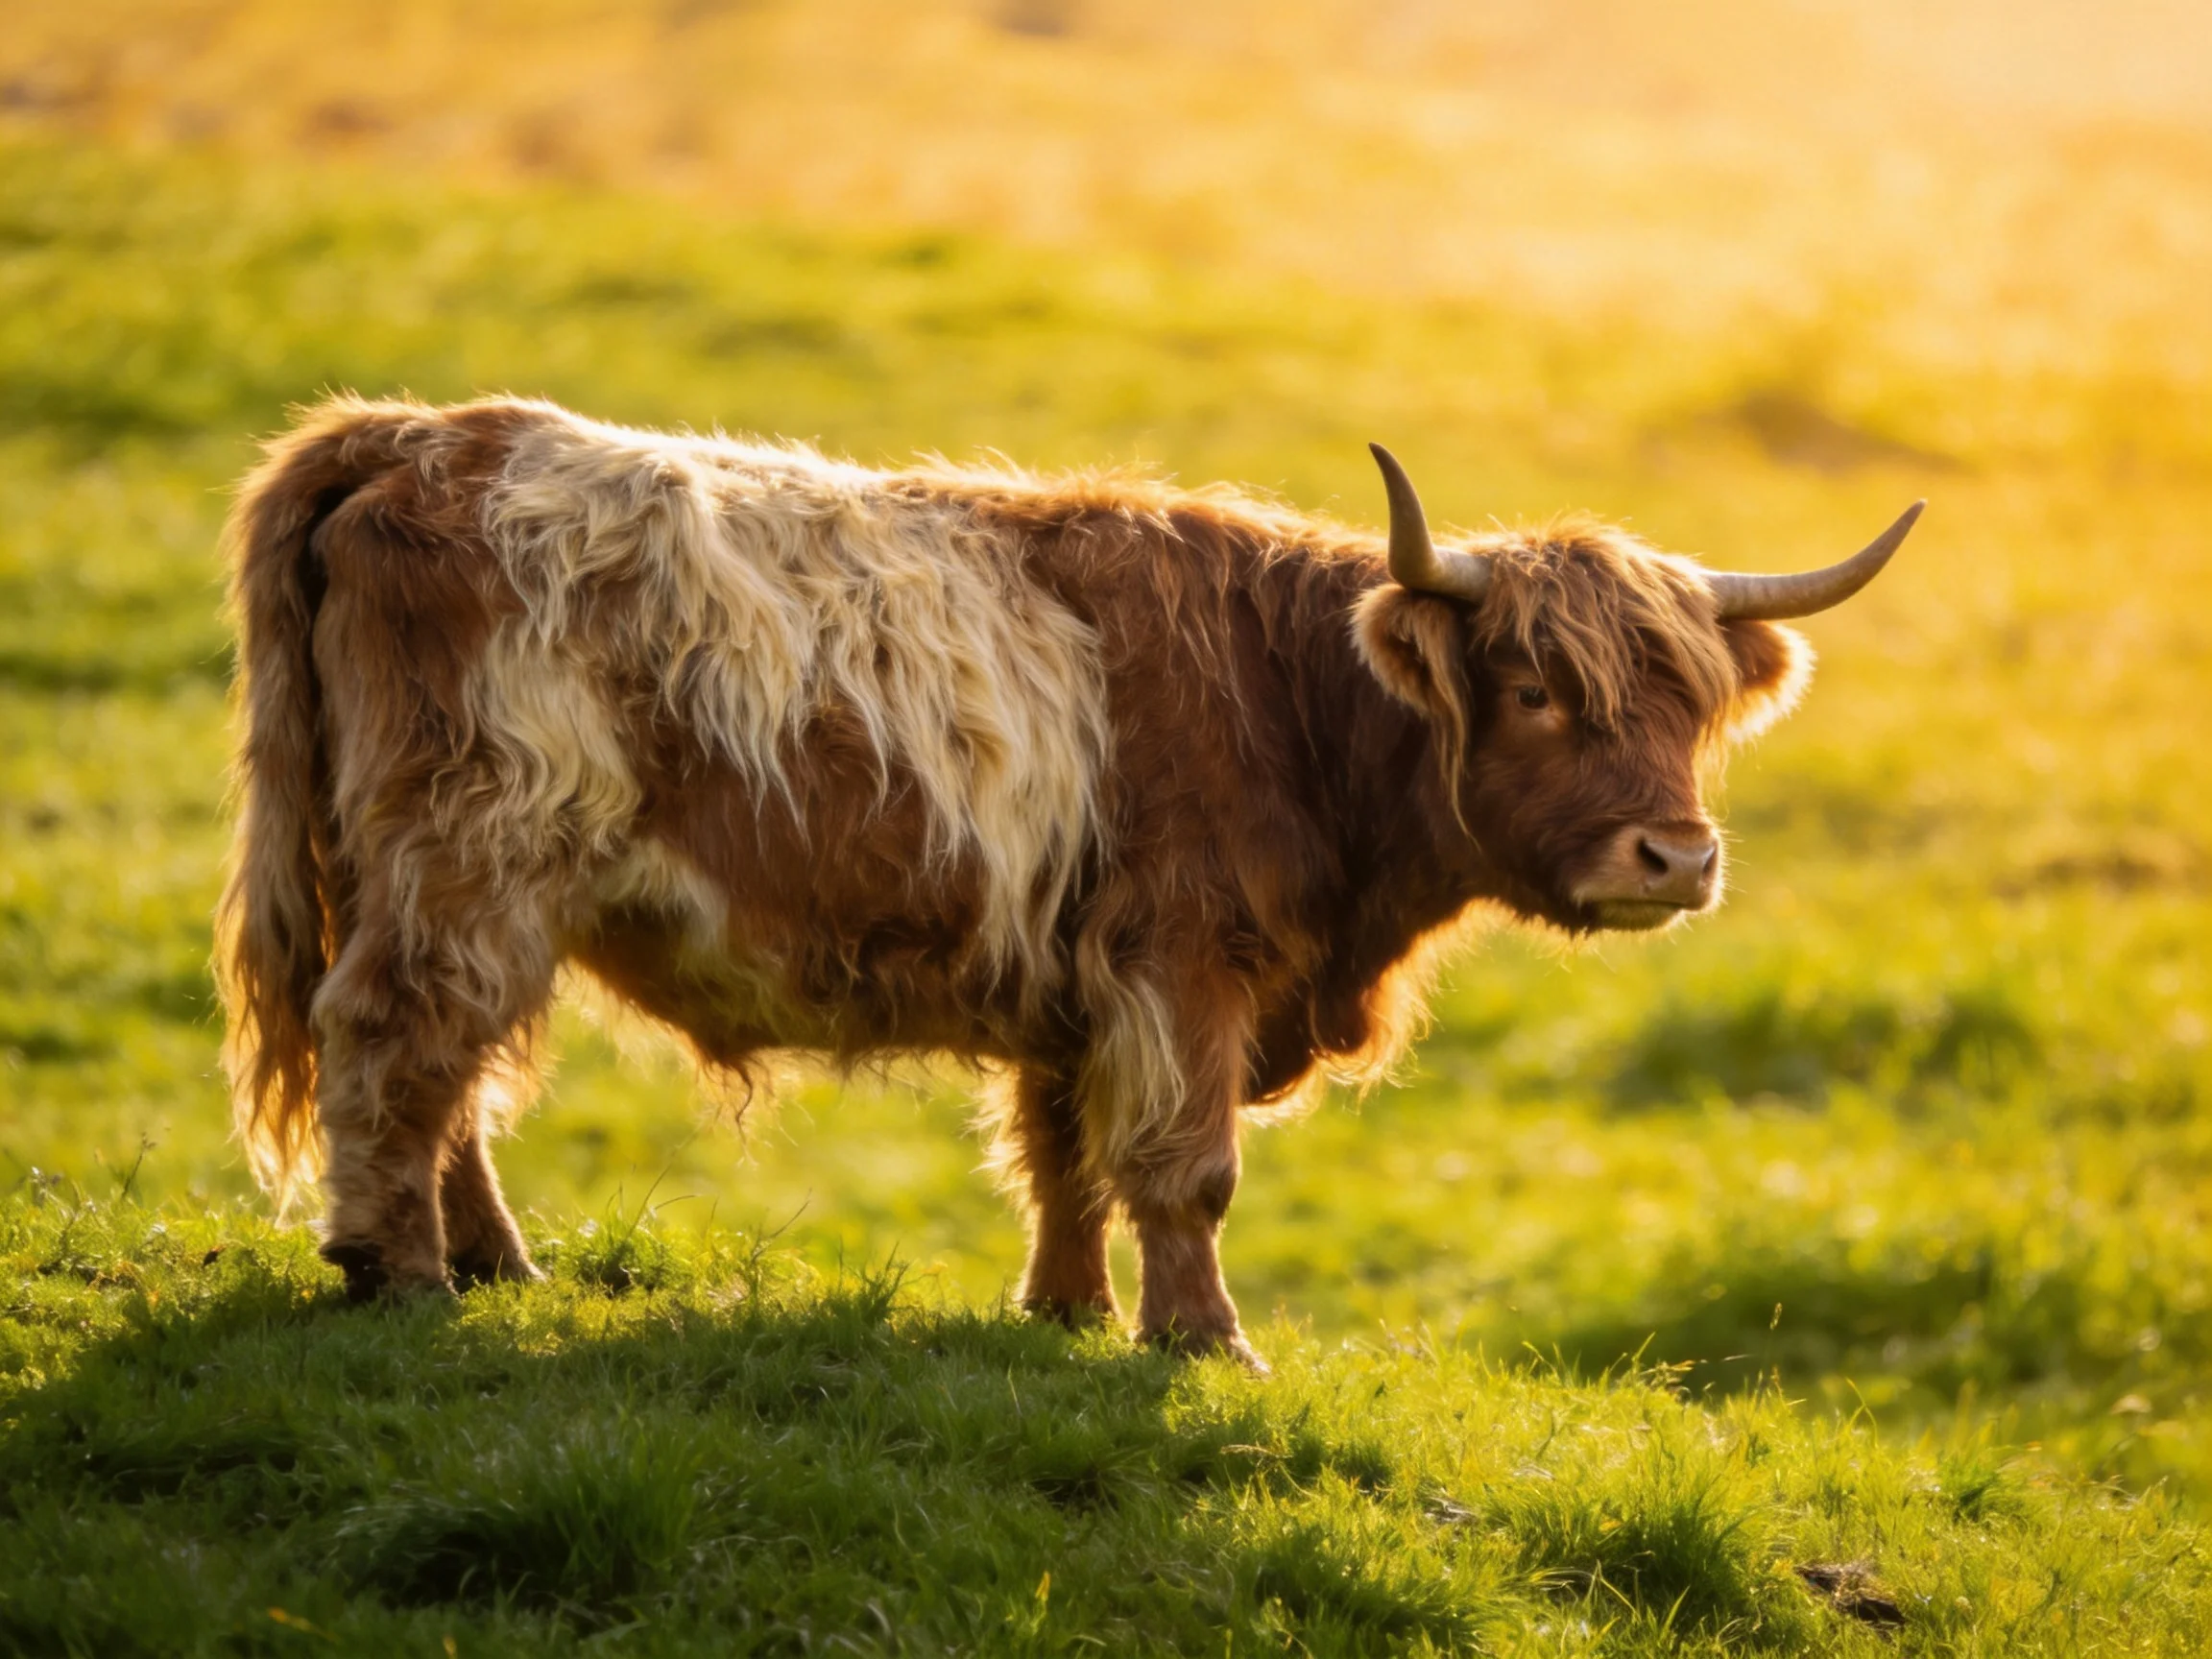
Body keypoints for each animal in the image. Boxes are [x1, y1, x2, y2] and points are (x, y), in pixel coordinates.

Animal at [216, 395, 1918, 1366]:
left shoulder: (1074, 977)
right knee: (399, 1038)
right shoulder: (1184, 964)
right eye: (1537, 692)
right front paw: (1202, 1343)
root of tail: (416, 434)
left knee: (454, 1070)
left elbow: (1063, 1156)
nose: (1675, 856)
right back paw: (401, 1275)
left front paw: (1067, 1315)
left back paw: (496, 1266)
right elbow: (1184, 1167)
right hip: (474, 854)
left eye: (1692, 706)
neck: (1294, 706)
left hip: (452, 875)